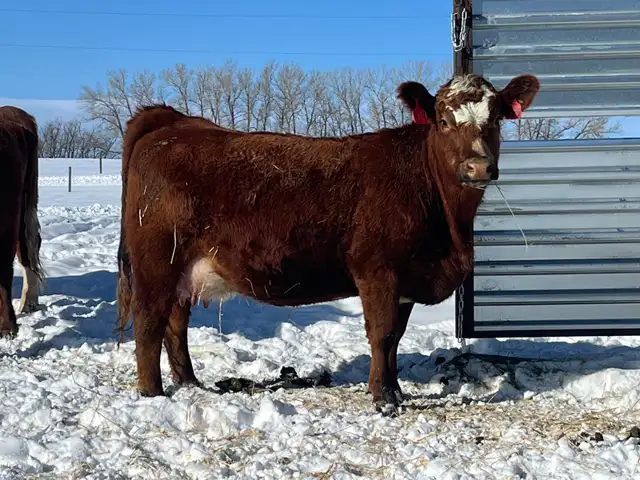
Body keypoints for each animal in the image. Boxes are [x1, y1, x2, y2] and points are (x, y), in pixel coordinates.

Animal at [116, 73, 540, 409]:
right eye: (444, 120)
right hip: (156, 262)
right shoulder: (378, 271)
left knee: (176, 323)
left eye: (496, 118)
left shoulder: (406, 279)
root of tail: (175, 122)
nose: (478, 167)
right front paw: (383, 399)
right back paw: (152, 393)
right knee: (149, 321)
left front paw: (395, 391)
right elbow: (382, 334)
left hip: (183, 270)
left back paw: (189, 383)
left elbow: (396, 339)